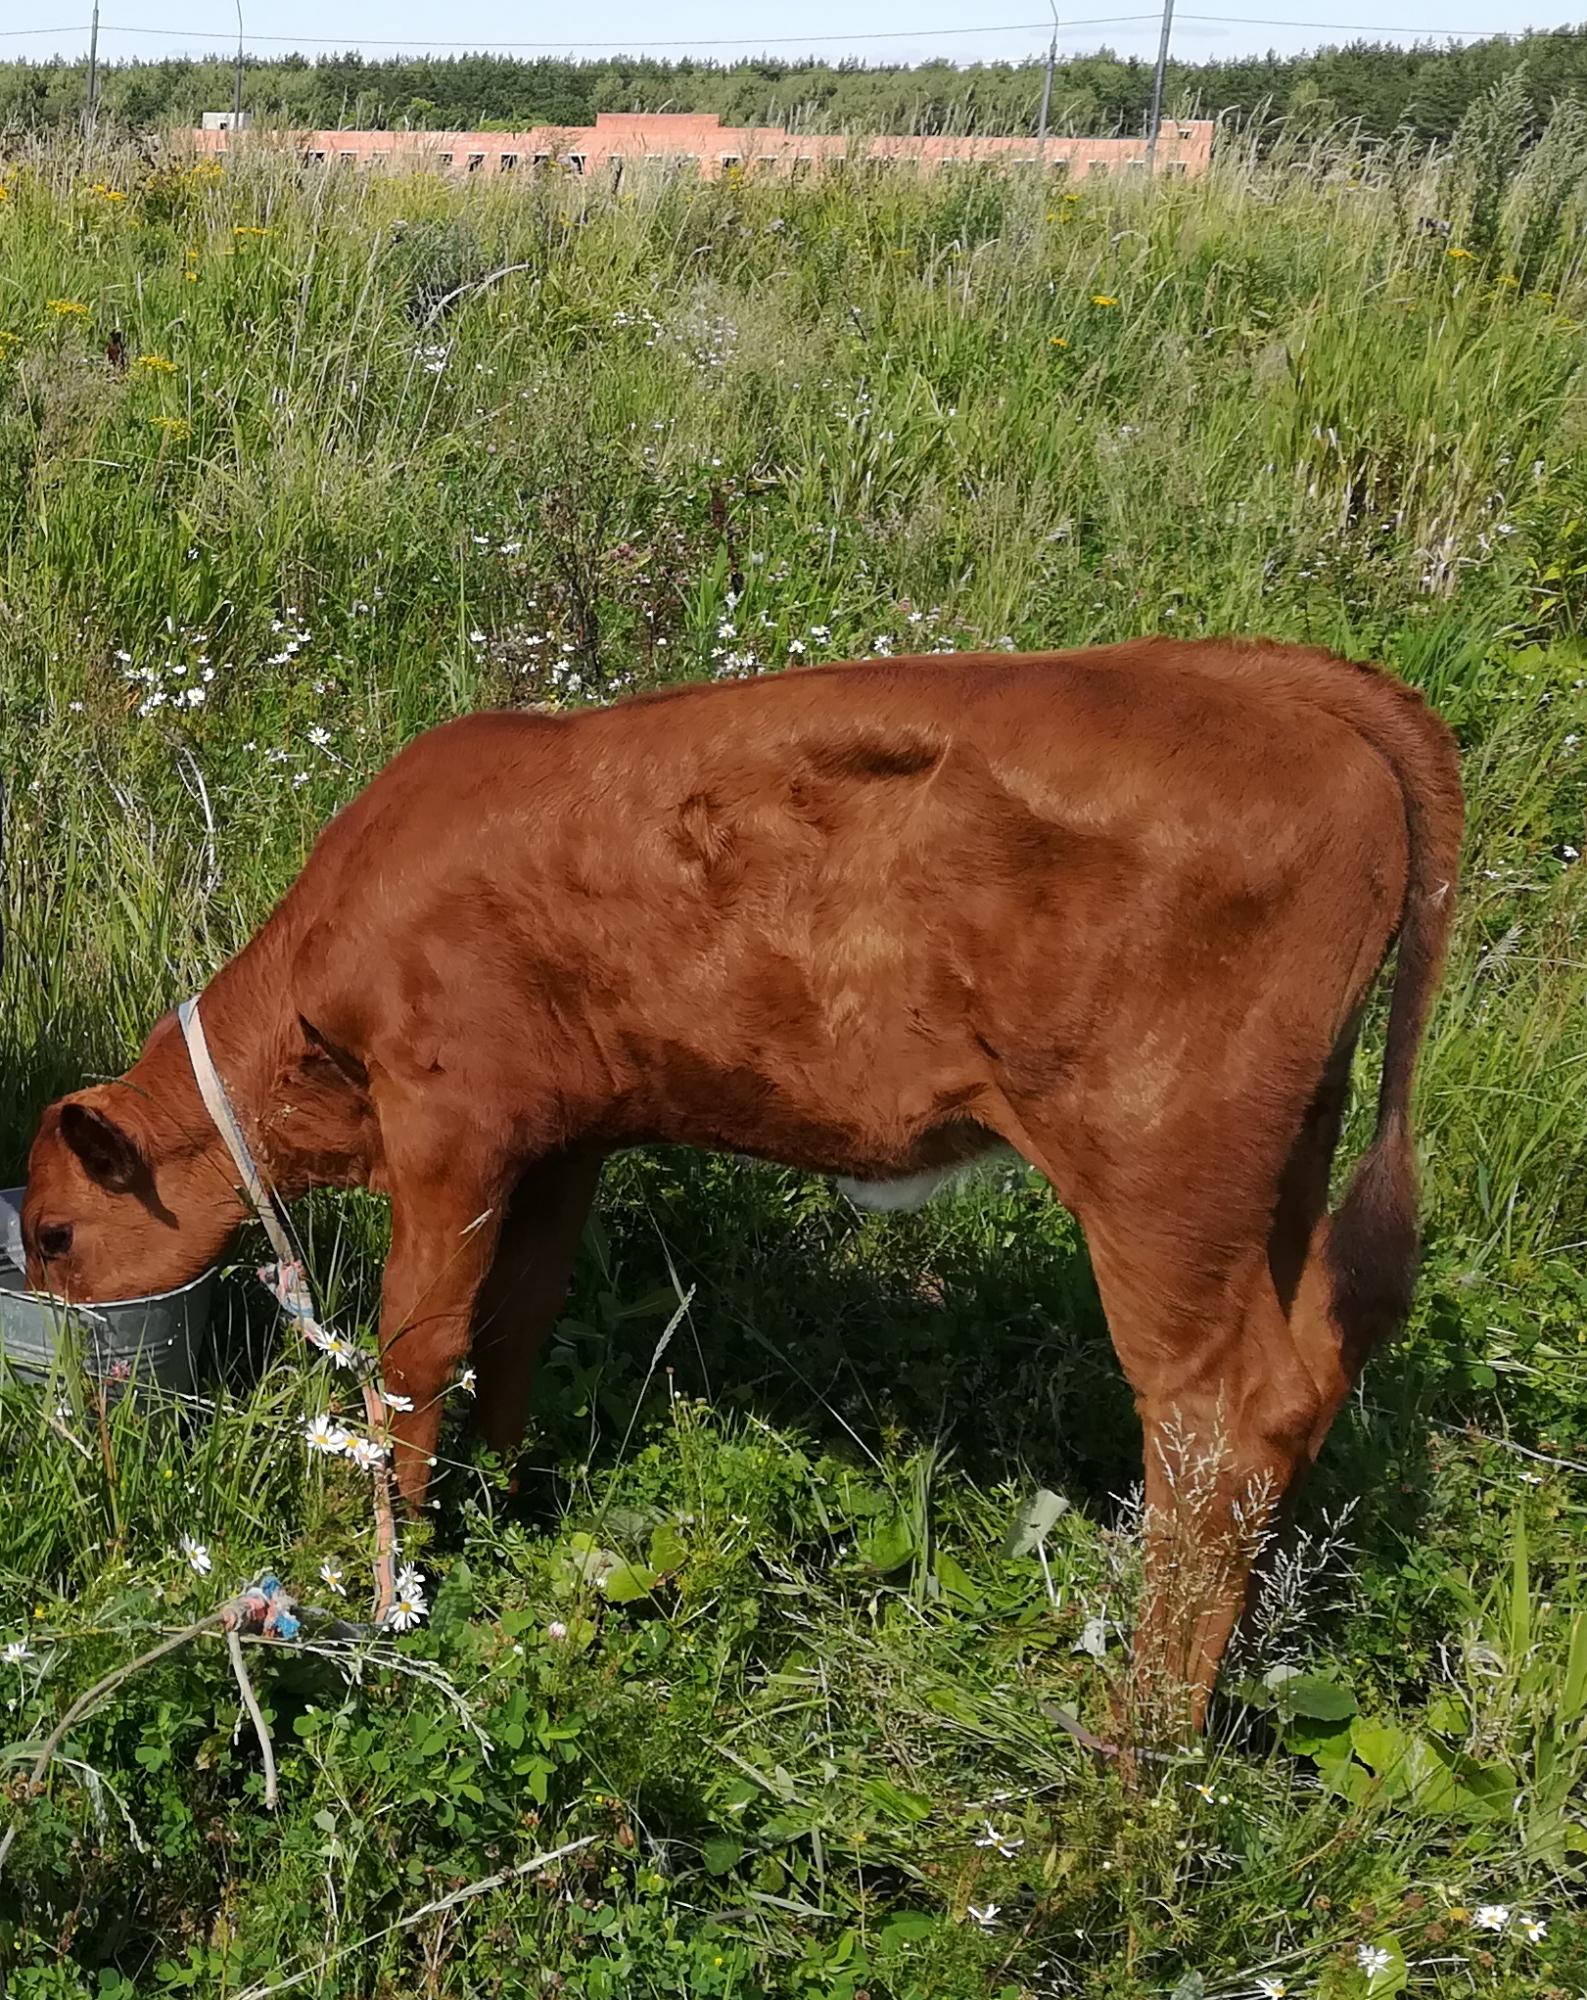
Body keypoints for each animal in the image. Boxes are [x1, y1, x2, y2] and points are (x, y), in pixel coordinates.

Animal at [24, 640, 1463, 1720]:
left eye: (48, 1233)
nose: (78, 1422)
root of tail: (1278, 679)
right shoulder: (561, 1141)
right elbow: (516, 1323)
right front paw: (503, 1510)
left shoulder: (450, 1128)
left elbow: (416, 1349)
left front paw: (393, 1567)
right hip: (1284, 1157)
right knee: (1303, 1381)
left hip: (1161, 1166)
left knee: (1219, 1419)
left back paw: (1140, 1732)